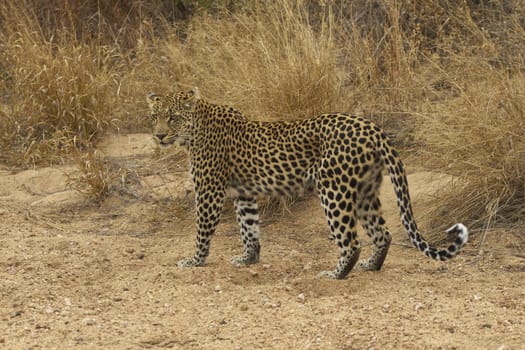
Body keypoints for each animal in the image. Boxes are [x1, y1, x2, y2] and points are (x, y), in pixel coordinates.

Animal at [145, 87, 468, 278]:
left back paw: (336, 274)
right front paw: (249, 258)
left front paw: (194, 260)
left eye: (172, 118)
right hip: (365, 191)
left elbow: (202, 229)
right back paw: (371, 266)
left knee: (351, 241)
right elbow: (248, 227)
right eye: (153, 117)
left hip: (333, 189)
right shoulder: (244, 194)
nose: (159, 135)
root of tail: (372, 127)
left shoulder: (209, 192)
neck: (195, 129)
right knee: (382, 233)